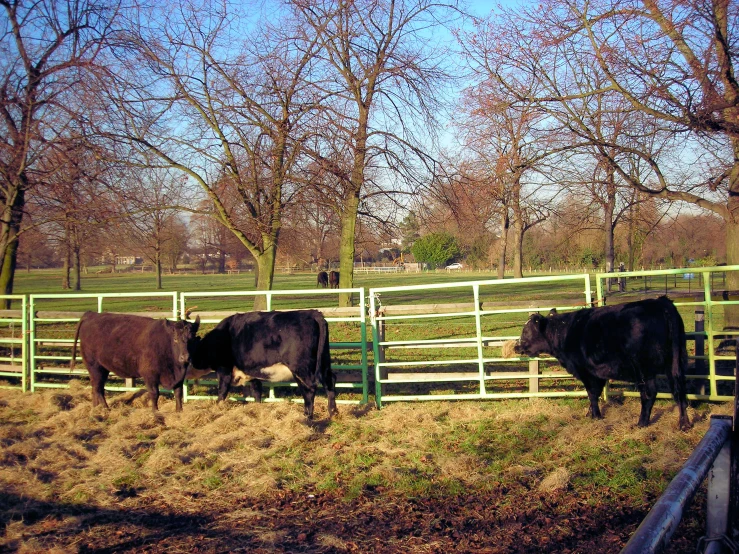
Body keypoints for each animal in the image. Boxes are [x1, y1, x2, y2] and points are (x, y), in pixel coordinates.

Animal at [71, 310, 201, 410]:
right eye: (175, 339)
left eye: (192, 338)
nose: (185, 357)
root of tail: (91, 314)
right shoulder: (149, 376)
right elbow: (154, 394)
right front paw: (155, 412)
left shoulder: (179, 377)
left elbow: (178, 393)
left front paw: (179, 411)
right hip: (94, 366)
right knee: (98, 388)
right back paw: (105, 408)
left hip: (102, 369)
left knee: (96, 387)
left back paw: (96, 408)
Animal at [192, 306, 340, 418]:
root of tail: (312, 313)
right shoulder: (251, 371)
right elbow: (256, 391)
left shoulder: (224, 370)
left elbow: (222, 391)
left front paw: (217, 408)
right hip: (324, 361)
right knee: (329, 380)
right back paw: (332, 413)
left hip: (301, 368)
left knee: (309, 388)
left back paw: (308, 416)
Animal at [512, 296, 692, 430]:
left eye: (526, 331)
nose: (516, 346)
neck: (564, 331)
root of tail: (660, 302)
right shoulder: (598, 371)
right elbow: (595, 393)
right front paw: (590, 413)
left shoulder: (586, 371)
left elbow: (592, 394)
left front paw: (596, 416)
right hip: (674, 363)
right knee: (679, 390)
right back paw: (684, 424)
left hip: (643, 368)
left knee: (649, 393)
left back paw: (641, 423)